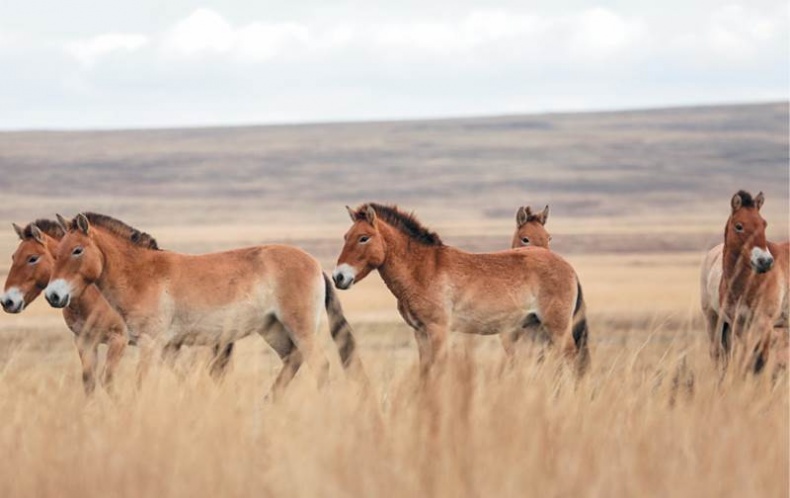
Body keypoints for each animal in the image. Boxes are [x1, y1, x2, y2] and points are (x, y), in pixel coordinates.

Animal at [2, 220, 129, 394]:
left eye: (32, 258)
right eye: (14, 256)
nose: (7, 301)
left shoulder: (118, 339)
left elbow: (108, 380)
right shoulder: (84, 341)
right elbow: (89, 381)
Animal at [44, 213, 367, 399]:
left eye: (77, 250)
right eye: (56, 253)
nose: (53, 295)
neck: (142, 274)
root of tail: (315, 264)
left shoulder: (150, 344)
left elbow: (139, 384)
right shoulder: (168, 347)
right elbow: (185, 381)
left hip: (299, 328)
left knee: (319, 366)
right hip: (273, 329)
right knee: (293, 362)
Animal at [332, 203, 589, 376]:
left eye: (364, 238)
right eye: (345, 236)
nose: (338, 277)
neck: (424, 268)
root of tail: (568, 266)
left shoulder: (437, 330)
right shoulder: (420, 332)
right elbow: (425, 374)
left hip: (557, 329)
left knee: (572, 361)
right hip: (536, 329)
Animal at [714, 191, 789, 372]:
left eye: (764, 224)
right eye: (739, 226)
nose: (765, 262)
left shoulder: (765, 324)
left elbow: (760, 362)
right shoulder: (739, 325)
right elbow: (748, 361)